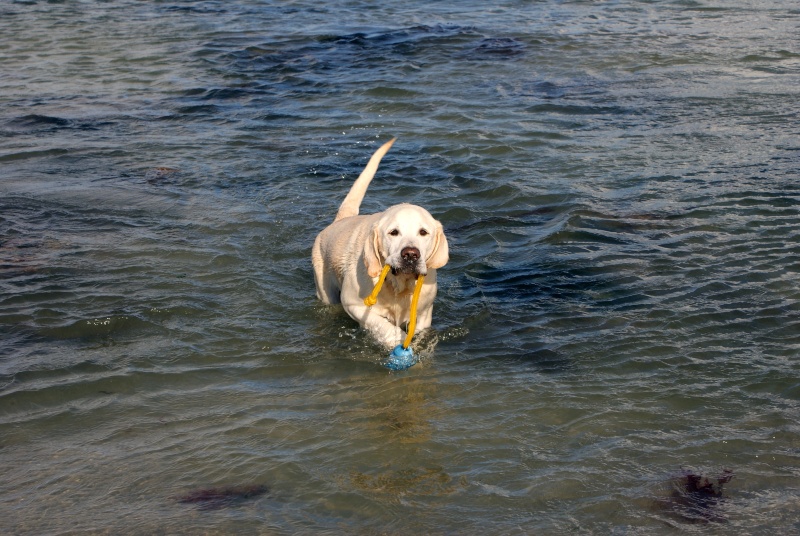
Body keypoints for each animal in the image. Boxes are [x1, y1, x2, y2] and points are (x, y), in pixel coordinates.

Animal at [312, 138, 450, 350]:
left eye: (423, 232)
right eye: (393, 232)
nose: (411, 254)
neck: (398, 285)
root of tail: (340, 220)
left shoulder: (424, 314)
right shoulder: (353, 303)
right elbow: (382, 325)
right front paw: (395, 341)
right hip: (325, 288)